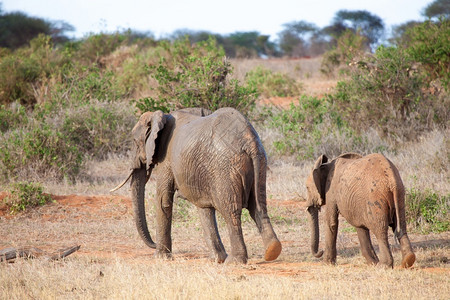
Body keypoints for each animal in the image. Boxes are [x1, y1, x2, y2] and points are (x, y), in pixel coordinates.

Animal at [111, 106, 282, 264]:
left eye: (135, 142)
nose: (152, 244)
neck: (162, 116)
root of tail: (249, 141)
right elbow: (204, 208)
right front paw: (216, 259)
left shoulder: (166, 159)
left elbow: (162, 200)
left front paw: (160, 258)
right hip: (260, 162)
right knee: (258, 206)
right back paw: (272, 251)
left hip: (226, 168)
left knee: (231, 211)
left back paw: (234, 261)